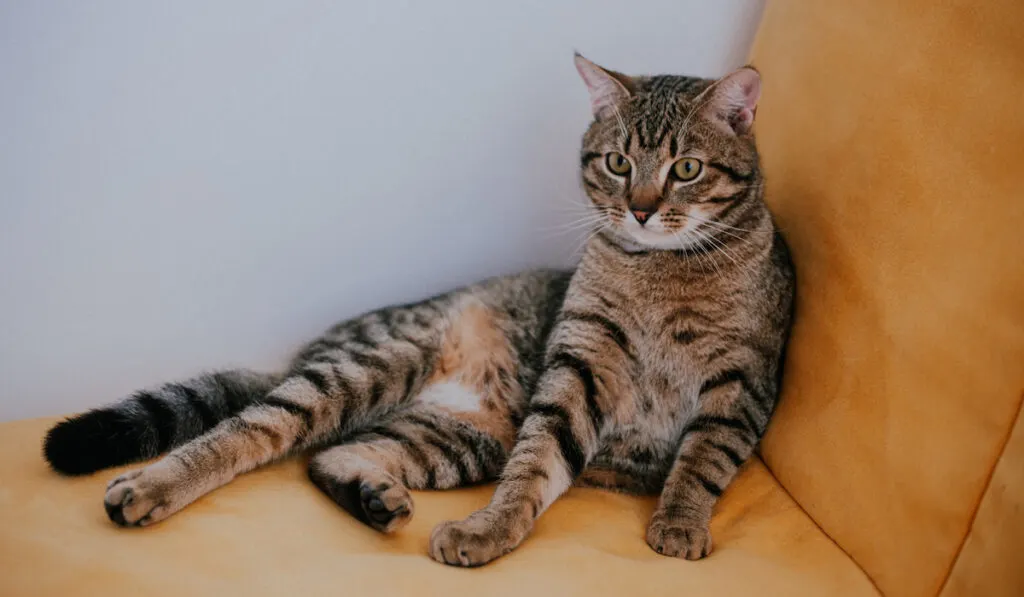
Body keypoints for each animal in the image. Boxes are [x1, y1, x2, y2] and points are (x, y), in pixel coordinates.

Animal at [41, 54, 790, 565]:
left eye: (685, 169)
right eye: (616, 162)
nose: (639, 209)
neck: (661, 274)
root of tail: (310, 350)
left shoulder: (742, 385)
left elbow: (700, 460)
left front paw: (681, 522)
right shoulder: (579, 367)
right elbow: (534, 469)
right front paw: (491, 527)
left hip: (455, 436)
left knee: (334, 453)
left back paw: (373, 499)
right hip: (372, 364)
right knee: (248, 432)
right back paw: (151, 486)